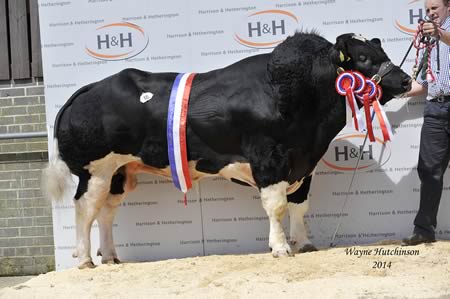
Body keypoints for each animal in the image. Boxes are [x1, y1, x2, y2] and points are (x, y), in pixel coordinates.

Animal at [44, 32, 412, 270]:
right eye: (363, 58)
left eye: (382, 53)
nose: (407, 80)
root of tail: (89, 89)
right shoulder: (270, 160)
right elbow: (277, 206)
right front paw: (280, 248)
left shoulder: (303, 165)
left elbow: (299, 206)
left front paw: (304, 243)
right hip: (94, 171)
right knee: (85, 209)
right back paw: (86, 259)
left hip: (119, 173)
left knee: (106, 212)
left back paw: (110, 257)